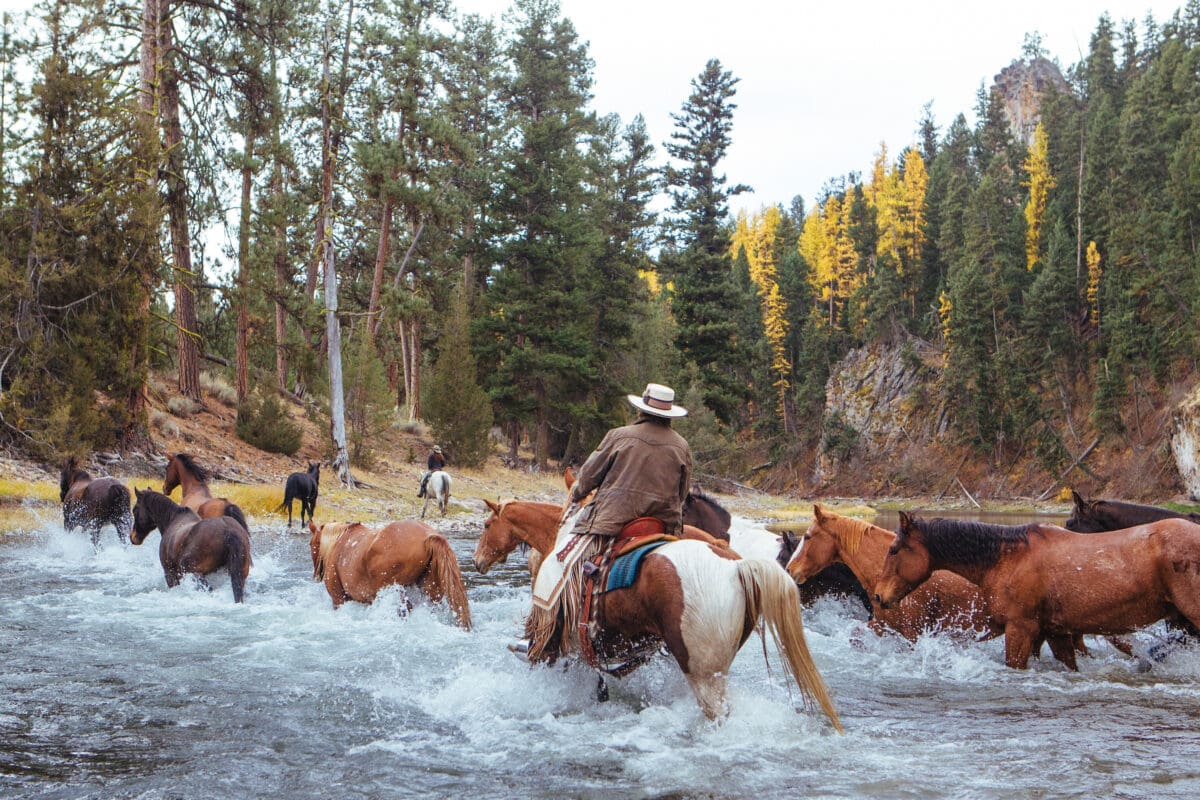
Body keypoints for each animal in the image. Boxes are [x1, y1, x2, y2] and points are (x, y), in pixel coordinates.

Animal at [308, 520, 471, 629]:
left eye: (311, 544)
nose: (316, 575)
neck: (339, 542)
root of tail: (428, 536)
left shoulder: (338, 599)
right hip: (431, 592)